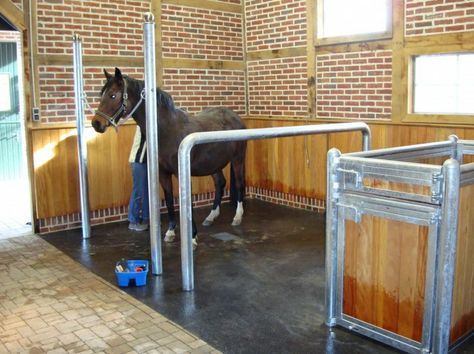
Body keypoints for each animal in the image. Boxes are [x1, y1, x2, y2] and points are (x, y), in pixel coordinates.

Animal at [93, 68, 248, 248]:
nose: (96, 123)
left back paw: (237, 216)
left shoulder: (182, 172)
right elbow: (168, 200)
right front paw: (171, 231)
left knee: (239, 183)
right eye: (101, 94)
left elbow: (185, 202)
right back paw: (211, 216)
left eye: (113, 95)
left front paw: (192, 237)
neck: (167, 130)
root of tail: (236, 118)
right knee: (220, 183)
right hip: (213, 164)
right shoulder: (163, 174)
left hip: (238, 159)